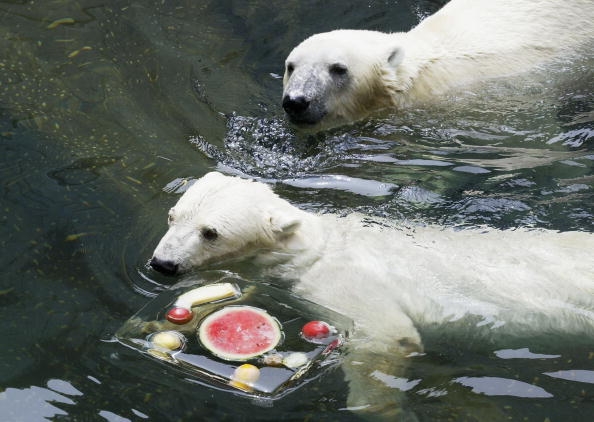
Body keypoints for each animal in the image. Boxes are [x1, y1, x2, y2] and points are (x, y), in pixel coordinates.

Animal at [149, 171, 592, 416]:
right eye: (173, 216)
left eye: (211, 232)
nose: (162, 264)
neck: (312, 251)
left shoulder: (343, 286)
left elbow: (388, 338)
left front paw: (381, 406)